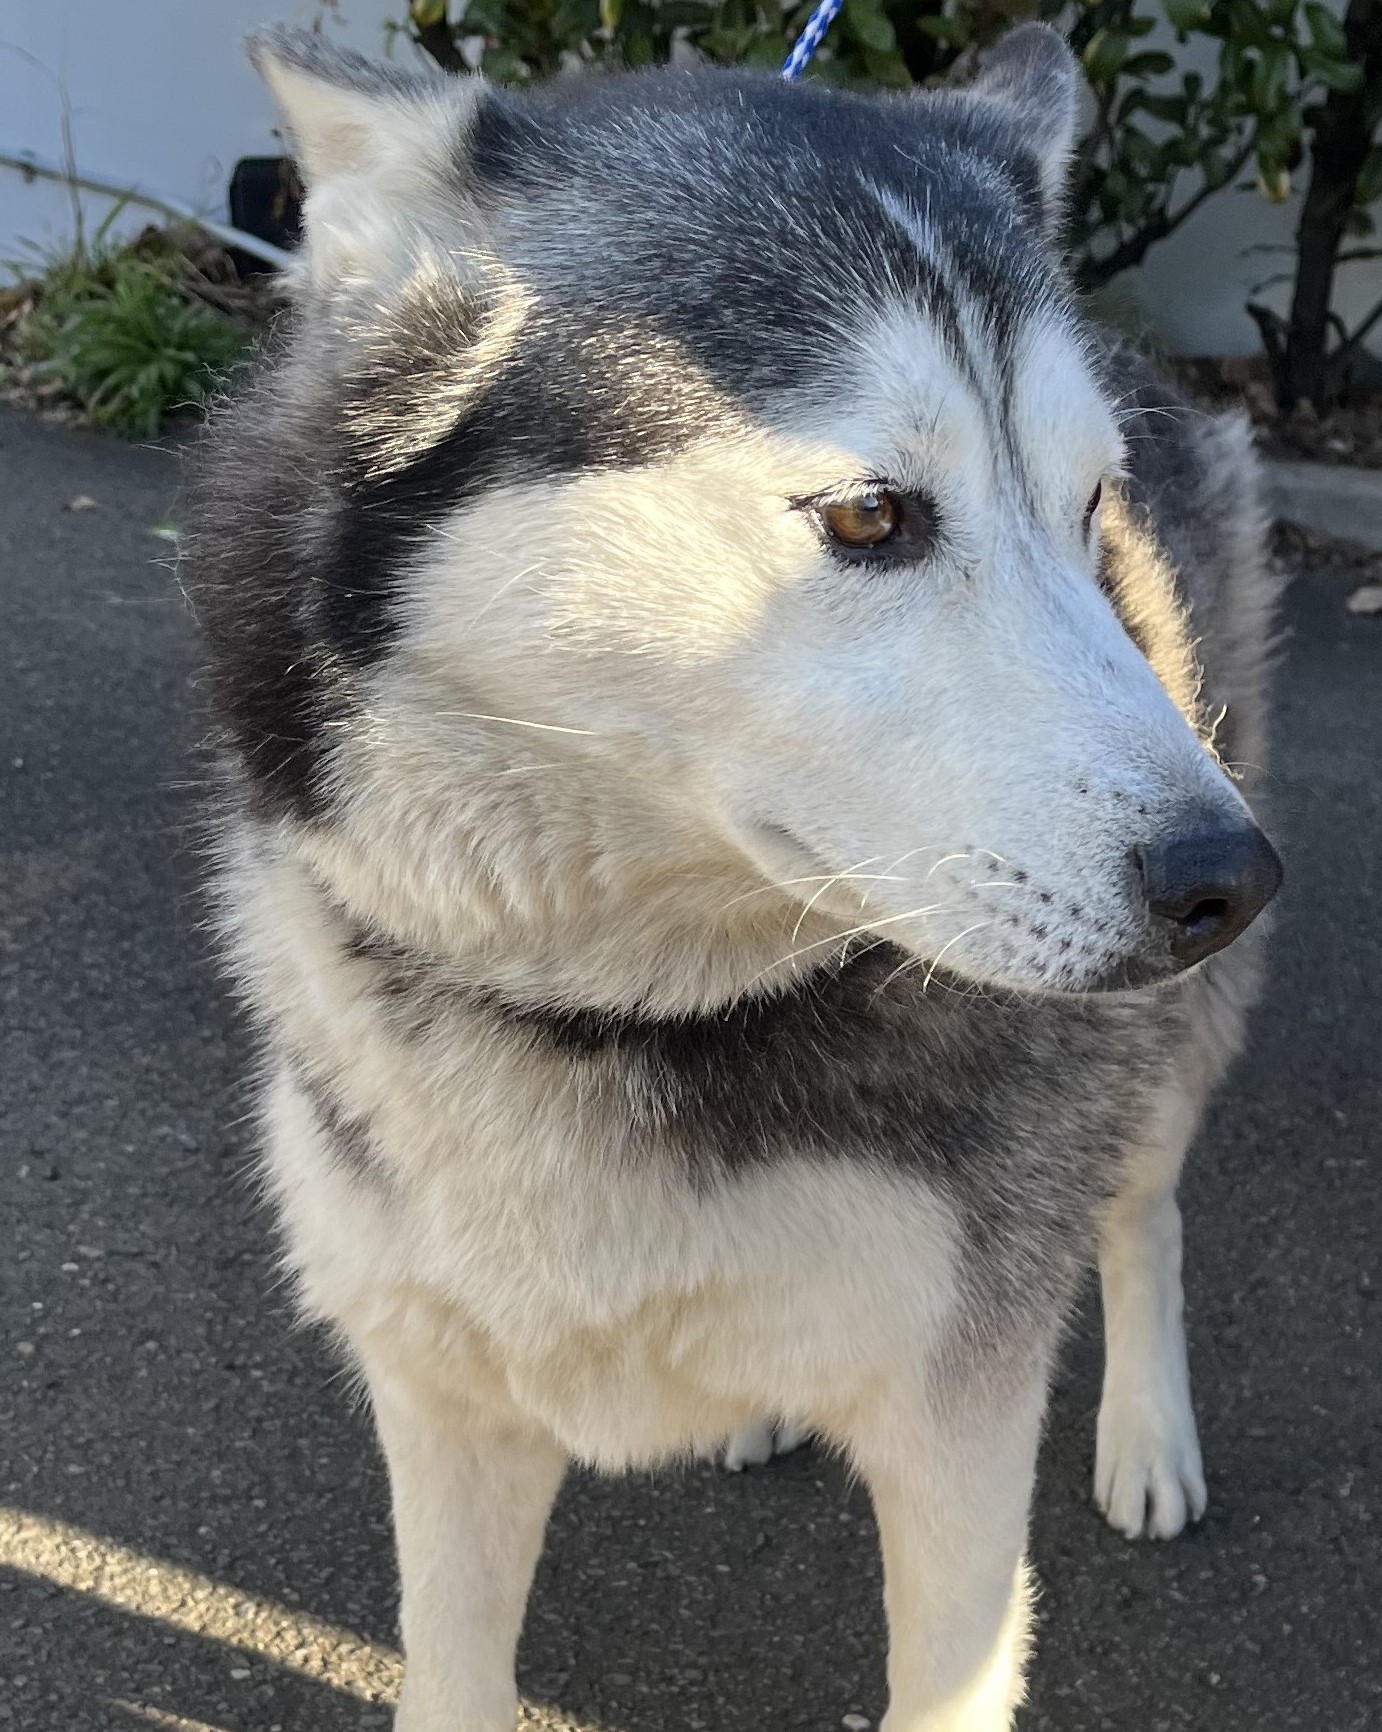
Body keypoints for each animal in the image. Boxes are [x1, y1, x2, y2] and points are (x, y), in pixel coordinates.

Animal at [184, 22, 1283, 1730]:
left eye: (1086, 507)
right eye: (869, 514)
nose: (1227, 879)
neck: (618, 1011)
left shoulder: (959, 1436)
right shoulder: (439, 1400)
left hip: (1156, 1068)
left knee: (1142, 1204)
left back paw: (1146, 1437)